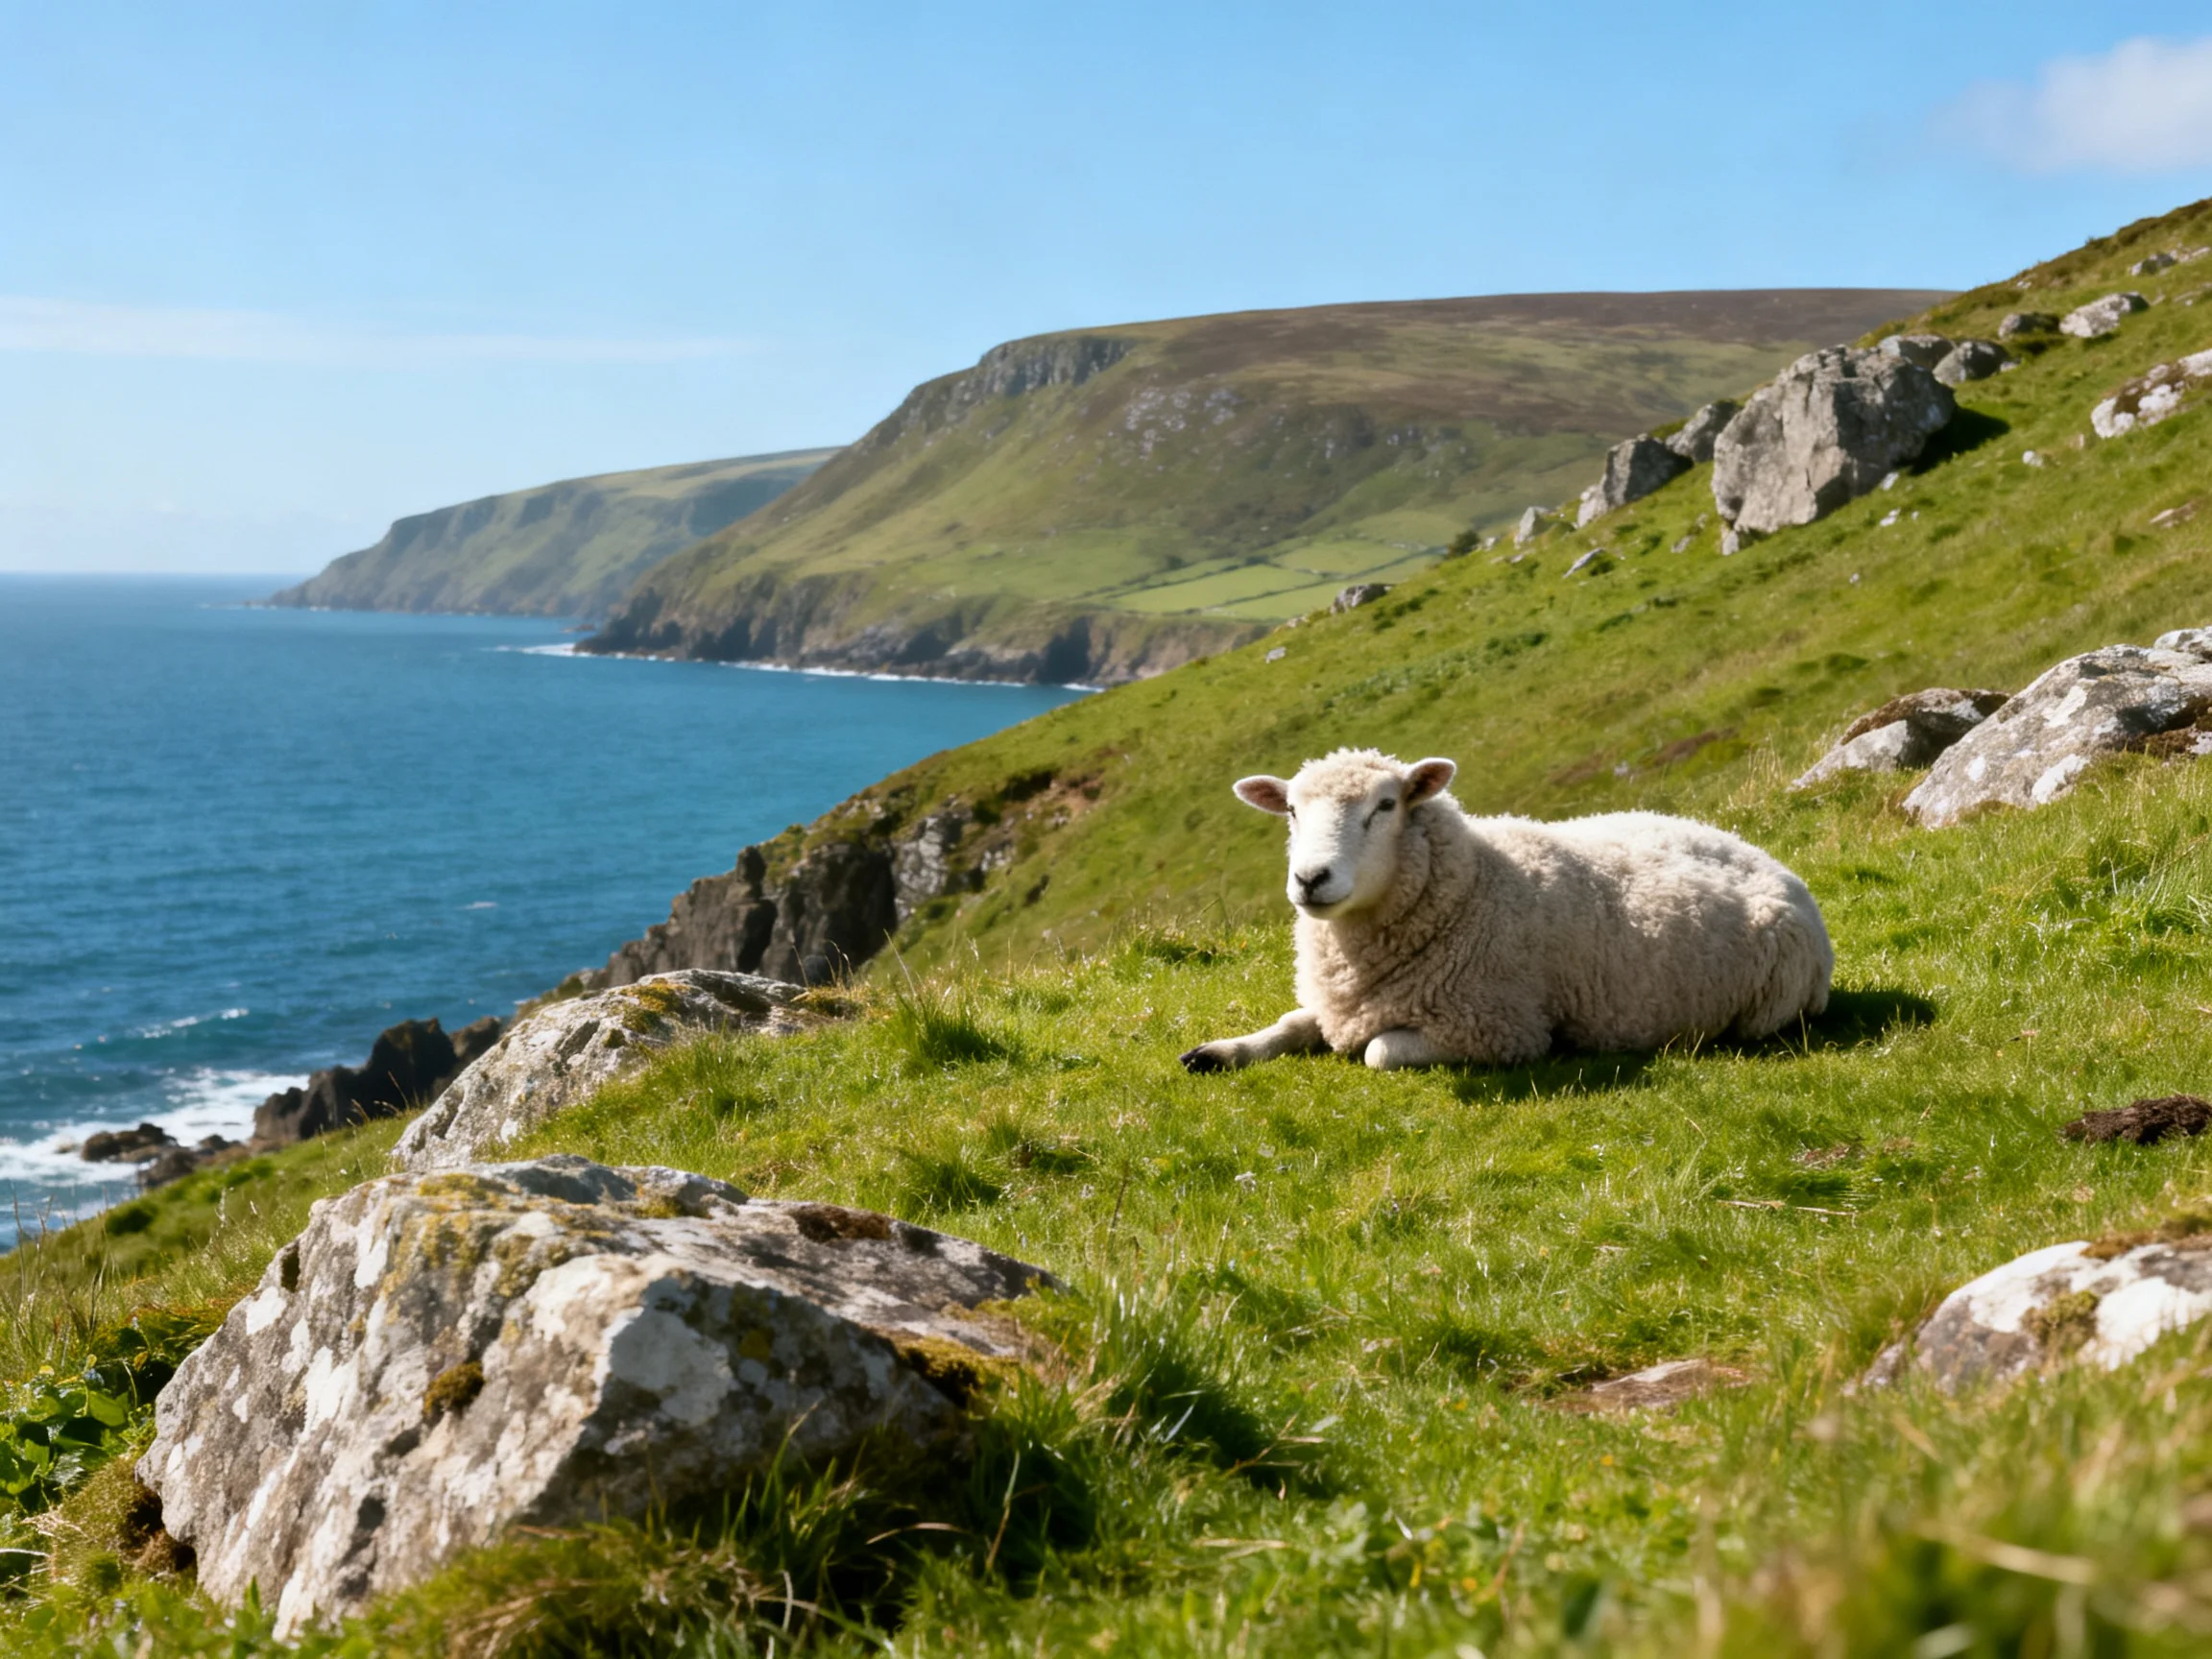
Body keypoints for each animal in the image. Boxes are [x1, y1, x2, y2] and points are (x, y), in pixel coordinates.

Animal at [1179, 748, 1833, 1072]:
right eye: (1291, 810)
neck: (1471, 885)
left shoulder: (1499, 1028)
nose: (1311, 879)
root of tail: (1770, 860)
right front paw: (1220, 1052)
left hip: (1766, 1010)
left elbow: (1376, 1052)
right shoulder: (1343, 1004)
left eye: (1385, 806)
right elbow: (1291, 1025)